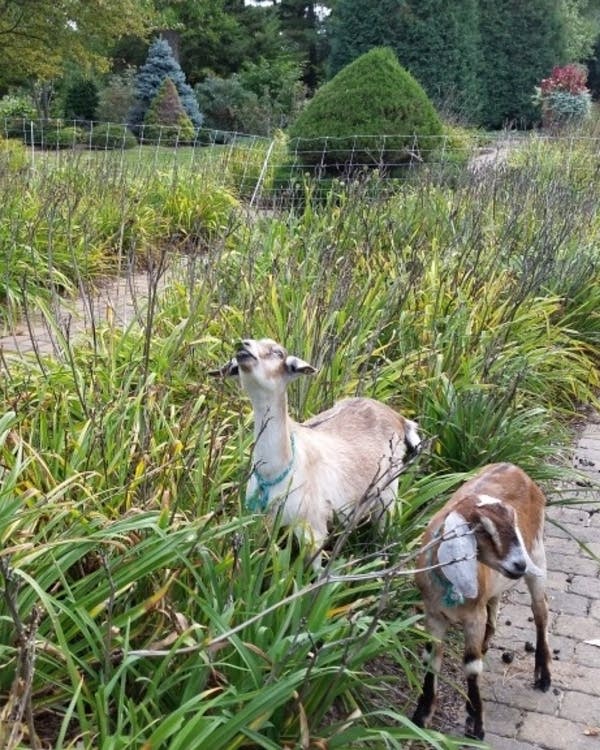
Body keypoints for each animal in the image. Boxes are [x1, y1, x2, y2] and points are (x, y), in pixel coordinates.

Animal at [210, 338, 421, 565]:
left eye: (278, 353)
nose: (244, 345)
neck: (277, 470)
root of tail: (399, 418)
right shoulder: (259, 522)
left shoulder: (313, 530)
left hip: (388, 493)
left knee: (383, 531)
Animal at [412, 462, 551, 740]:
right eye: (483, 530)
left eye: (513, 522)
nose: (518, 565)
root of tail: (515, 467)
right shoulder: (432, 615)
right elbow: (431, 657)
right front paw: (421, 715)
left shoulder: (473, 617)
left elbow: (471, 666)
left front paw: (475, 723)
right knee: (495, 603)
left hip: (538, 556)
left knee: (540, 612)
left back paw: (543, 675)